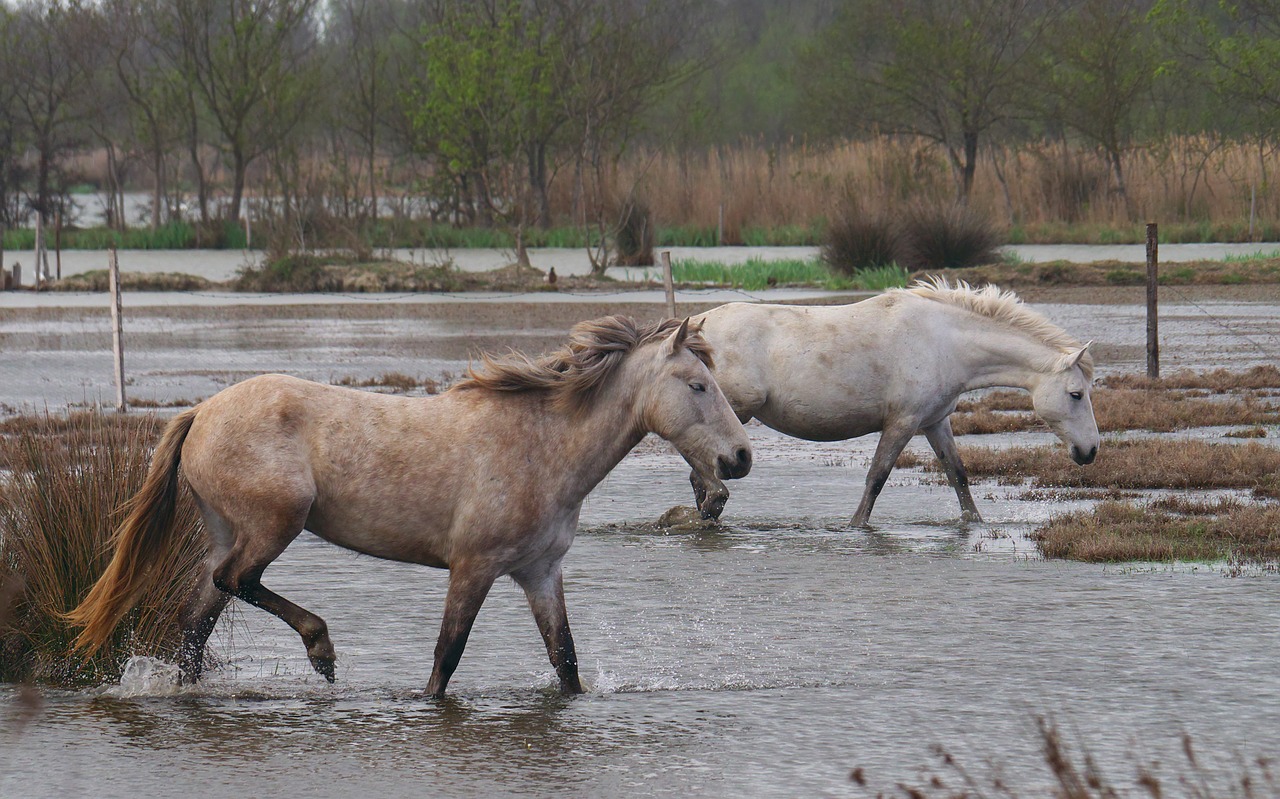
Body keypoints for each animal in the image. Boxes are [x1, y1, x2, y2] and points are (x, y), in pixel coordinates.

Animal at [67, 314, 747, 696]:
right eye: (698, 386)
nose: (739, 457)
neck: (543, 446)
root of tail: (201, 412)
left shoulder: (539, 573)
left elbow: (566, 663)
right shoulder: (473, 567)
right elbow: (447, 658)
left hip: (226, 532)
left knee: (197, 619)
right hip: (276, 522)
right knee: (238, 582)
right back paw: (321, 650)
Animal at [691, 277, 1100, 527]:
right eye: (1076, 394)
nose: (1090, 451)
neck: (944, 342)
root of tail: (695, 327)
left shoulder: (935, 422)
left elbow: (958, 475)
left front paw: (975, 523)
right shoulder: (902, 423)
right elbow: (877, 477)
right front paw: (856, 526)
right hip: (729, 411)